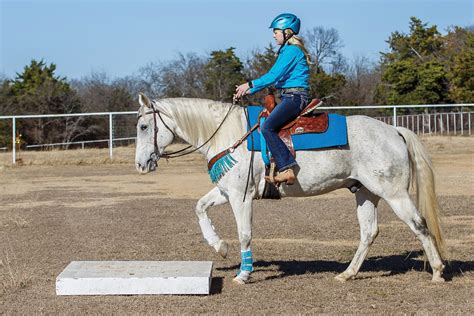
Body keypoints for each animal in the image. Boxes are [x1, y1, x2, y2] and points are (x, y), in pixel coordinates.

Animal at [135, 93, 446, 284]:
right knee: (369, 232)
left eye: (143, 126)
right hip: (365, 193)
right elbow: (199, 207)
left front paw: (243, 274)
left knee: (419, 224)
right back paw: (347, 274)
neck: (229, 134)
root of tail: (394, 130)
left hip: (394, 194)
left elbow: (245, 234)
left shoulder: (241, 196)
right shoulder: (226, 192)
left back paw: (438, 272)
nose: (140, 164)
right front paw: (220, 247)